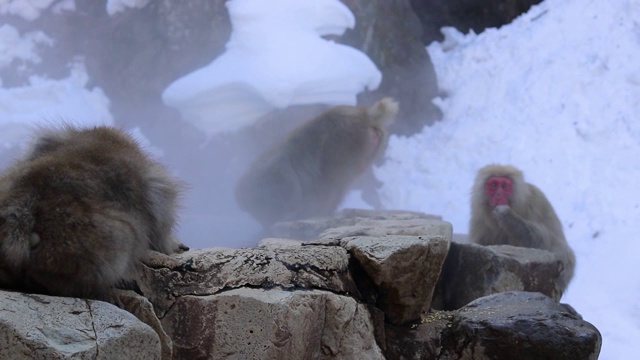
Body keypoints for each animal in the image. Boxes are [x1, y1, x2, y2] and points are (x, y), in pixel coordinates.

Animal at [235, 97, 398, 228]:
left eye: (263, 209)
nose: (268, 222)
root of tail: (363, 114)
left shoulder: (281, 178)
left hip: (345, 146)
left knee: (333, 180)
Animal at [470, 164, 576, 292]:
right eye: (494, 185)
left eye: (504, 186)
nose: (499, 196)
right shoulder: (479, 218)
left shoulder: (535, 203)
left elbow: (545, 242)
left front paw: (507, 217)